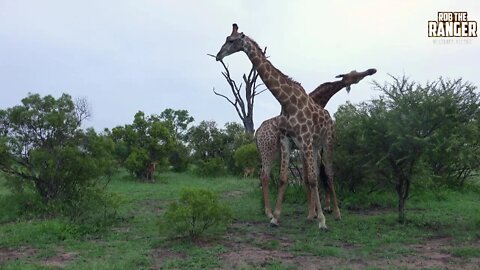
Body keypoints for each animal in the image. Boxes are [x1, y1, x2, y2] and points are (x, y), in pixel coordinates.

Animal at [218, 23, 334, 230]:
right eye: (226, 39)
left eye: (231, 40)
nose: (218, 55)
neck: (287, 102)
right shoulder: (288, 140)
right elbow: (284, 179)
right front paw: (275, 217)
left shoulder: (304, 139)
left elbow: (312, 179)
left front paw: (321, 221)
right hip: (312, 147)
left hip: (325, 143)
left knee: (328, 173)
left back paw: (335, 213)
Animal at [256, 68, 376, 220]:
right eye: (353, 75)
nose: (370, 71)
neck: (316, 100)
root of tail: (257, 132)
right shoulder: (306, 147)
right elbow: (310, 177)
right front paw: (314, 212)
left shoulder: (310, 147)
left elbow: (315, 175)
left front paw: (319, 209)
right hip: (268, 151)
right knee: (264, 176)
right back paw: (269, 212)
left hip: (271, 152)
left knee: (264, 175)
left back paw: (268, 211)